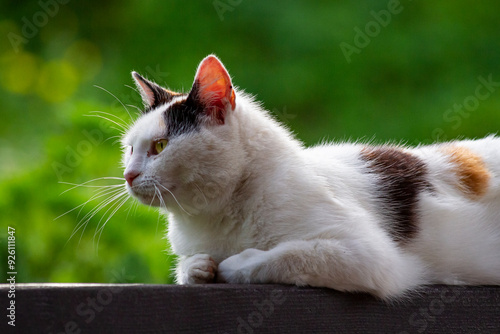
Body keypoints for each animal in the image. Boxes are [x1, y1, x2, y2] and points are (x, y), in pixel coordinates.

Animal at [124, 55, 500, 300]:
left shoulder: (370, 256)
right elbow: (189, 267)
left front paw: (235, 264)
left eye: (160, 145)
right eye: (129, 149)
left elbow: (288, 254)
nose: (128, 174)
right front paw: (195, 267)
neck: (213, 219)